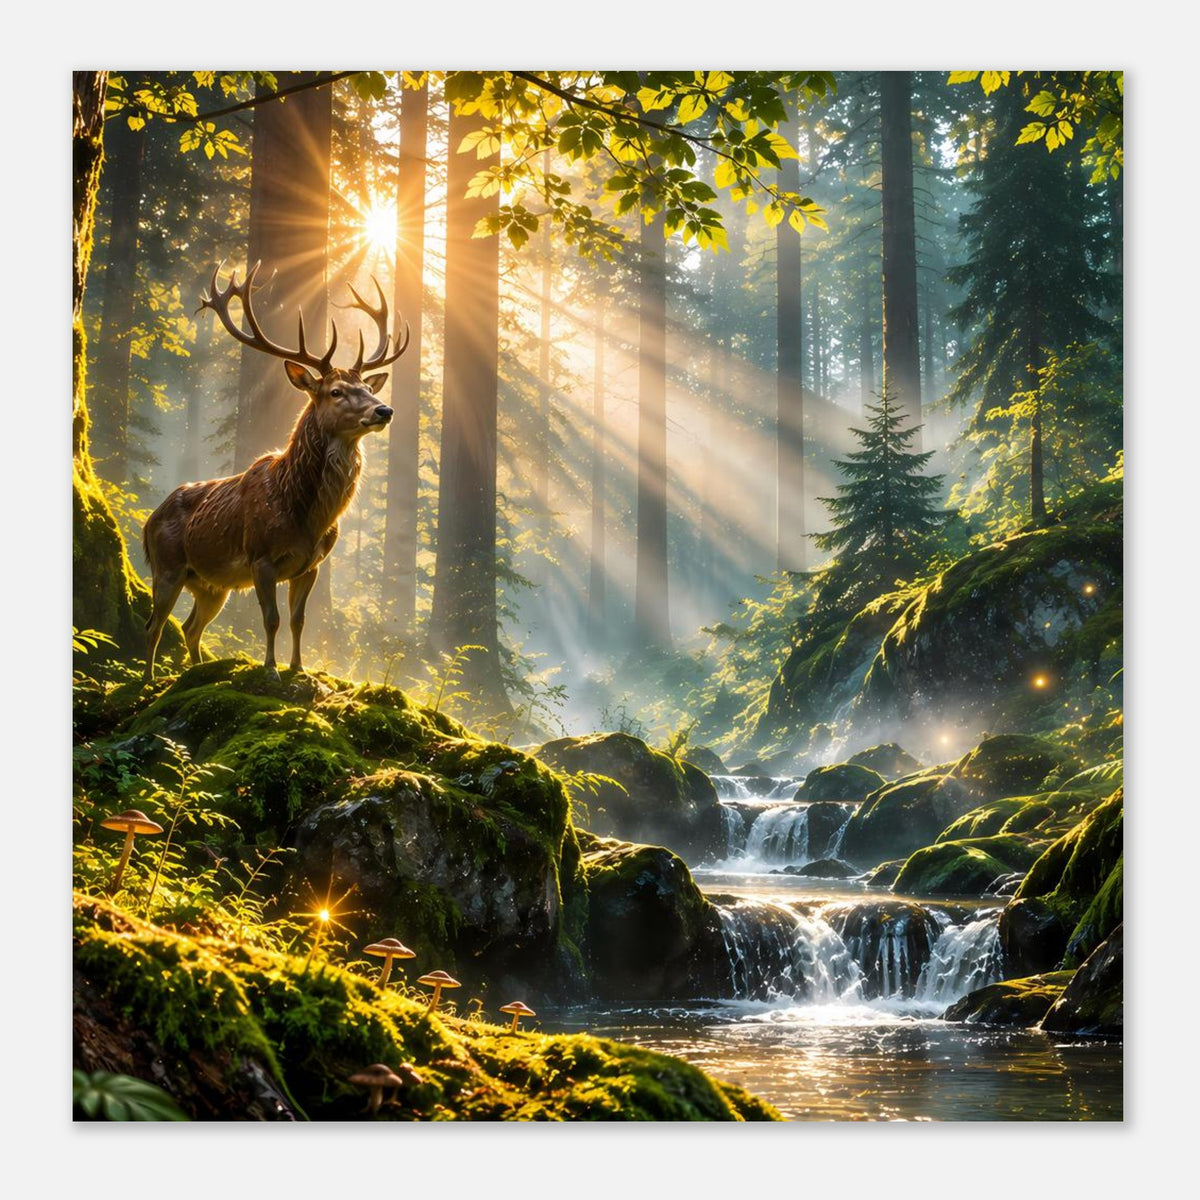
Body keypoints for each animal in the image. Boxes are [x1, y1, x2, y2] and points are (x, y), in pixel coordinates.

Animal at [141, 261, 408, 682]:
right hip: (167, 566)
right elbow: (272, 619)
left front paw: (299, 668)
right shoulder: (260, 557)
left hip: (211, 584)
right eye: (335, 392)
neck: (305, 513)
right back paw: (149, 681)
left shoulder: (312, 564)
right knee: (154, 626)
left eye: (367, 387)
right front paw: (270, 670)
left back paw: (196, 672)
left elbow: (299, 620)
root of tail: (147, 520)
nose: (384, 410)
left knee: (190, 626)